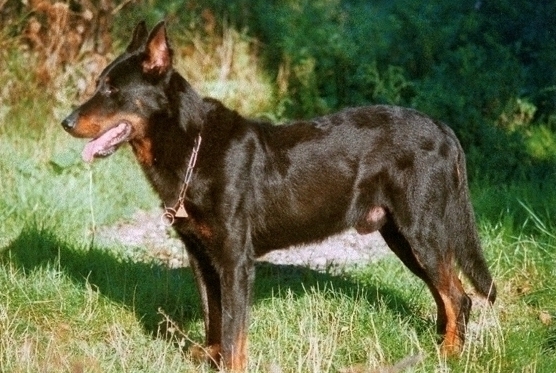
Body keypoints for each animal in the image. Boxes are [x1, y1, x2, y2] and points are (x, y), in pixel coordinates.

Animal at [63, 21, 498, 372]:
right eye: (99, 84)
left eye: (112, 90)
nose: (66, 122)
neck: (191, 148)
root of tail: (444, 129)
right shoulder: (201, 259)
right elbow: (213, 319)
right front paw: (211, 357)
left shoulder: (235, 262)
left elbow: (234, 331)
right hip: (403, 238)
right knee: (446, 297)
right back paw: (437, 348)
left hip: (422, 233)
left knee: (458, 297)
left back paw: (448, 356)